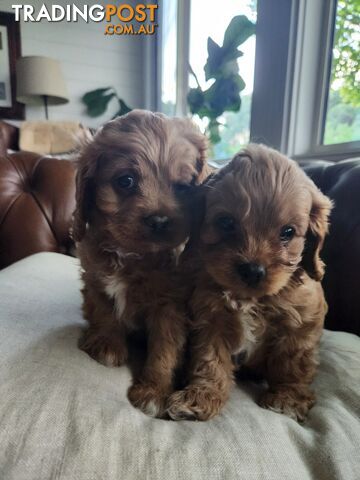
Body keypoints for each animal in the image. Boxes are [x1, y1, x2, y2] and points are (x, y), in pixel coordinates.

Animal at [73, 109, 208, 416]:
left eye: (184, 187)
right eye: (126, 181)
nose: (159, 220)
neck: (132, 255)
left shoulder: (169, 307)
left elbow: (164, 349)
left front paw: (154, 391)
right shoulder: (95, 280)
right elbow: (104, 311)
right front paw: (107, 344)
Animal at [168, 144, 332, 422]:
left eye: (288, 232)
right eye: (226, 222)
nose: (253, 270)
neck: (250, 298)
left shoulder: (300, 323)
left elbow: (294, 363)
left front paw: (288, 398)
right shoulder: (211, 319)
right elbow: (209, 360)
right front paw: (201, 397)